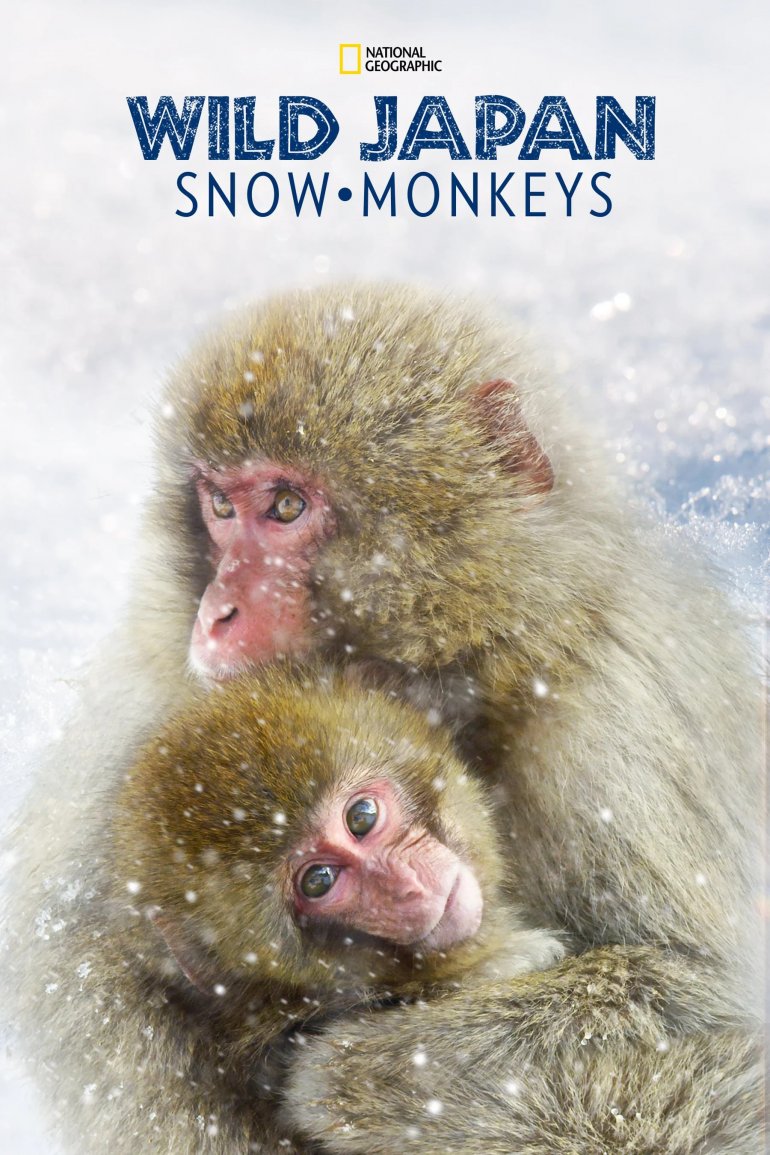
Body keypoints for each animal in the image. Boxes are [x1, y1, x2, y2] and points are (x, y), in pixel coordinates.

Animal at [4, 284, 763, 1151]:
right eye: (220, 507)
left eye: (286, 505)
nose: (217, 611)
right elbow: (68, 962)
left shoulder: (622, 719)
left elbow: (708, 991)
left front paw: (343, 1074)